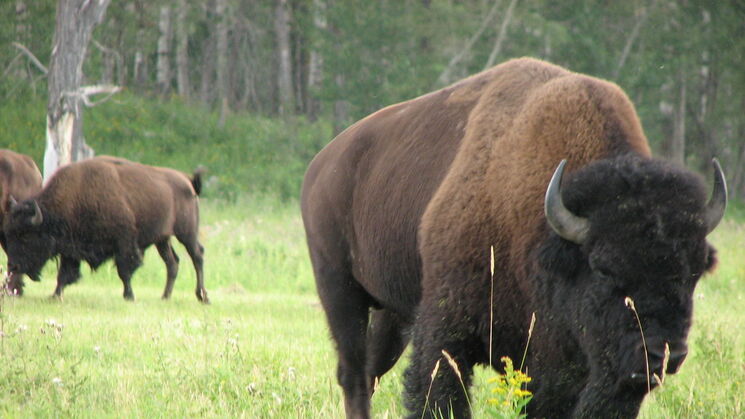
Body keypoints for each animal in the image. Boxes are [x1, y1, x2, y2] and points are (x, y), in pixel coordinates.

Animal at [300, 56, 728, 419]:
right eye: (603, 268)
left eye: (693, 272)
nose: (663, 354)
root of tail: (321, 164)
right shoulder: (447, 329)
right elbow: (440, 395)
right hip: (339, 289)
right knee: (354, 373)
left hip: (394, 311)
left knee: (372, 368)